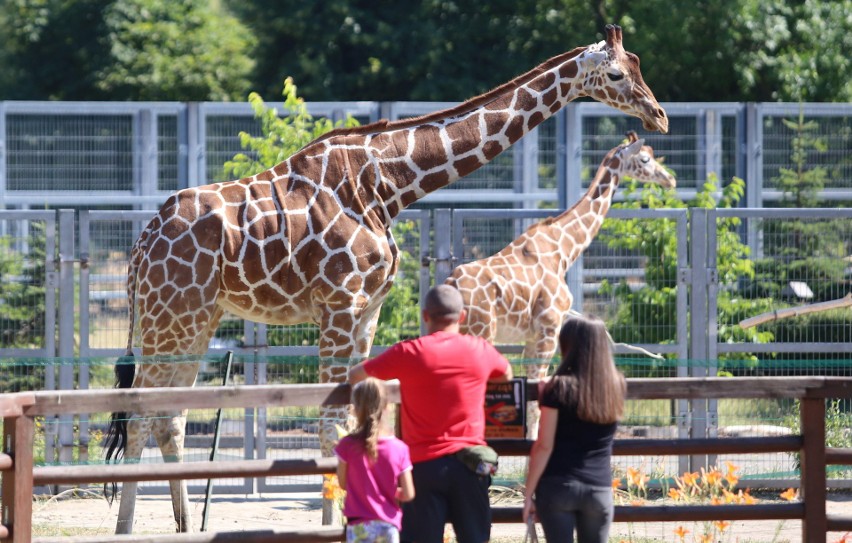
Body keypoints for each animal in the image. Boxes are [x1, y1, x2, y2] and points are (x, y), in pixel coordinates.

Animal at [450, 132, 676, 438]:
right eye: (644, 159)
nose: (670, 179)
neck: (564, 250)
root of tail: (450, 283)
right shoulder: (549, 326)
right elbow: (537, 398)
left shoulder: (532, 335)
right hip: (481, 331)